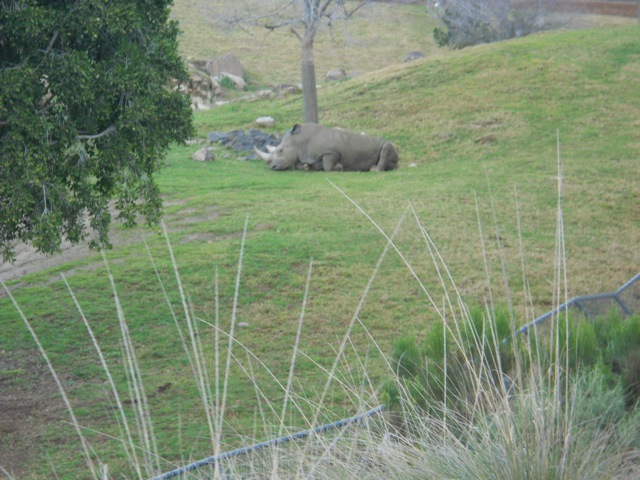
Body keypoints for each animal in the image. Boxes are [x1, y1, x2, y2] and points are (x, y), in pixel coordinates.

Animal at [254, 123, 399, 172]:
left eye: (281, 150)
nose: (272, 167)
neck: (300, 142)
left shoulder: (331, 152)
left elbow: (328, 166)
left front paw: (339, 167)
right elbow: (302, 165)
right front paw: (306, 167)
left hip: (388, 144)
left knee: (386, 147)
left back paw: (374, 170)